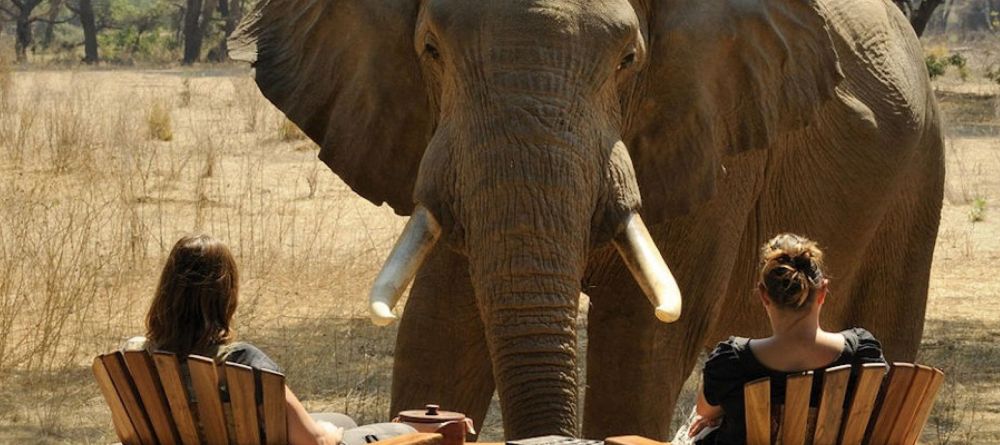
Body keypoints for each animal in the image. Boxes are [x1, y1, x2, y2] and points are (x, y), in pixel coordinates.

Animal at [230, 0, 940, 438]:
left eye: (628, 60)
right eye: (430, 49)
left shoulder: (713, 128)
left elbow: (643, 336)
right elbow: (442, 323)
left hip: (917, 176)